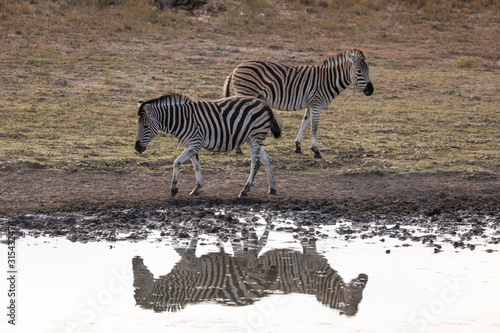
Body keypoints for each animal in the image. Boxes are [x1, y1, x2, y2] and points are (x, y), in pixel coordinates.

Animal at [133, 92, 282, 197]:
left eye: (145, 126)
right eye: (137, 125)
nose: (137, 148)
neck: (181, 120)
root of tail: (263, 103)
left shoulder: (195, 144)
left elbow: (176, 162)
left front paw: (174, 188)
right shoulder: (191, 144)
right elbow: (196, 166)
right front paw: (197, 188)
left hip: (256, 136)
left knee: (255, 164)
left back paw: (245, 190)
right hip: (251, 138)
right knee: (266, 158)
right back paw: (272, 187)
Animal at [225, 48, 374, 158]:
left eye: (368, 71)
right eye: (359, 71)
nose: (371, 91)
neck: (329, 80)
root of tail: (236, 68)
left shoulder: (311, 105)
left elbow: (304, 124)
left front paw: (298, 146)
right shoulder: (316, 104)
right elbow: (314, 127)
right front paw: (316, 150)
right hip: (246, 93)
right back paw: (238, 149)